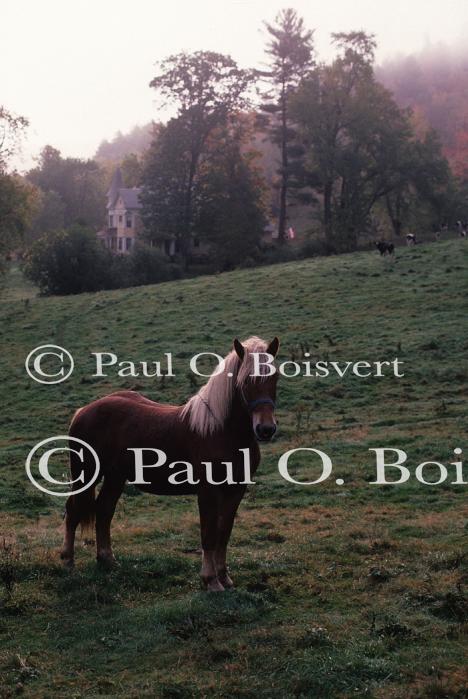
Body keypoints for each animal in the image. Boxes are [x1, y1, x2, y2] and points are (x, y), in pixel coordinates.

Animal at [61, 336, 279, 592]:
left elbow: (224, 533)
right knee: (73, 510)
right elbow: (209, 533)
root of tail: (82, 412)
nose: (266, 429)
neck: (221, 432)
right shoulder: (208, 491)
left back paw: (107, 560)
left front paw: (224, 577)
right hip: (87, 474)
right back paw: (68, 561)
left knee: (104, 510)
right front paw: (211, 580)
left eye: (275, 377)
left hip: (115, 477)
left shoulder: (236, 490)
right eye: (246, 381)